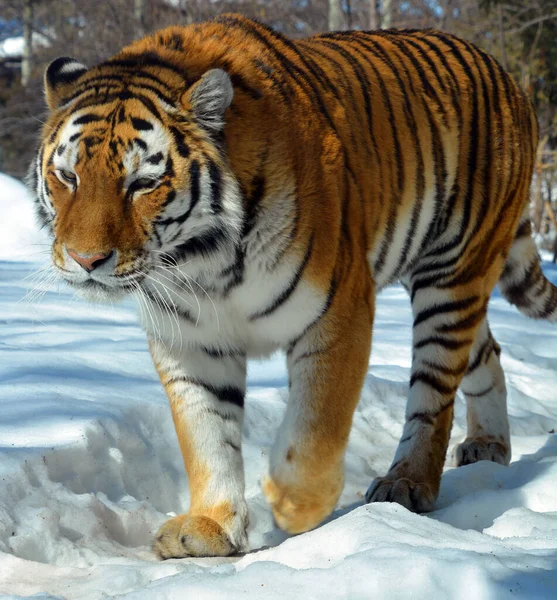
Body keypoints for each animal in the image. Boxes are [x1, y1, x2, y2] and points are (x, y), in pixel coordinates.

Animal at [29, 12, 552, 556]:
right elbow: (207, 435)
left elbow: (316, 427)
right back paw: (489, 446)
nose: (86, 259)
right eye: (68, 177)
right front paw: (210, 525)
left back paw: (407, 482)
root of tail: (501, 70)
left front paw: (295, 506)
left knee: (435, 390)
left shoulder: (338, 311)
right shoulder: (191, 340)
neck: (203, 262)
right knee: (486, 351)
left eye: (142, 184)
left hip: (452, 274)